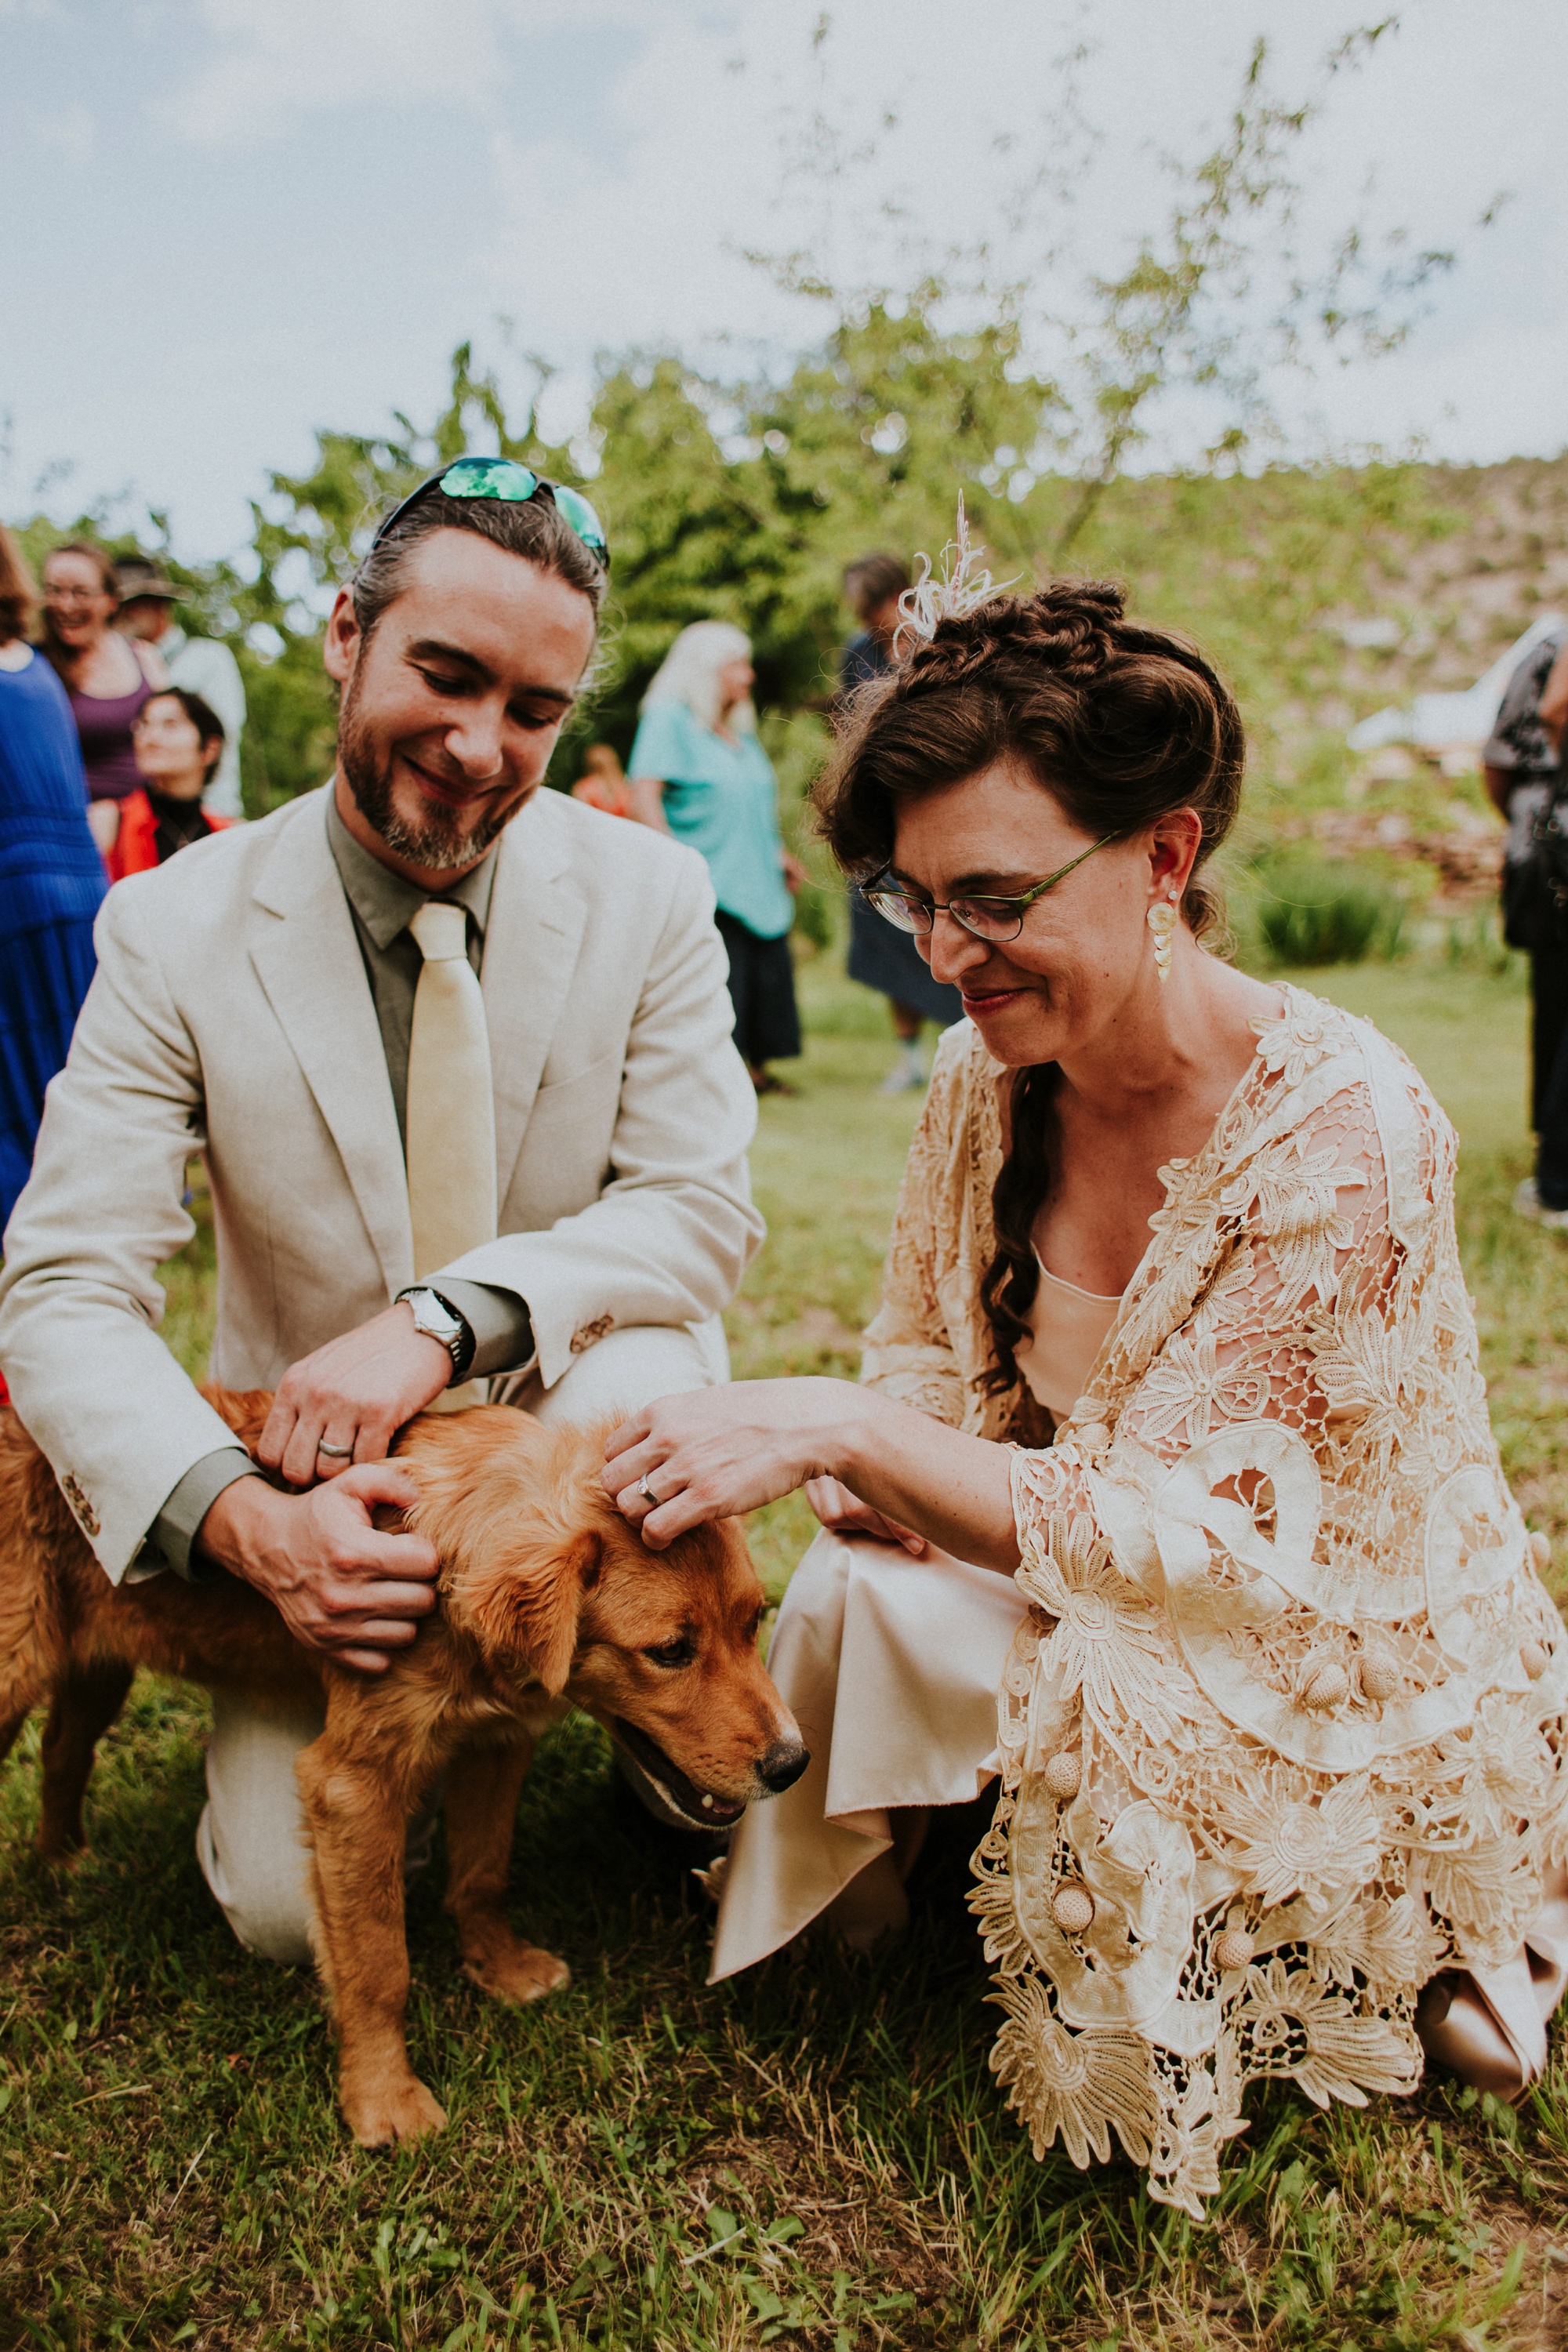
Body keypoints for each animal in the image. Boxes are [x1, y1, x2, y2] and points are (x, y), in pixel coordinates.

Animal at [0, 1392, 808, 2154]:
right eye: (670, 1651)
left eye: (754, 1620)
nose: (794, 1764)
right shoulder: (352, 1785)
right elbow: (377, 1962)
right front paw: (383, 2097)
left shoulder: (496, 1742)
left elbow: (481, 1872)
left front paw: (499, 1967)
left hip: (96, 1663)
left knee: (64, 1746)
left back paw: (63, 1858)